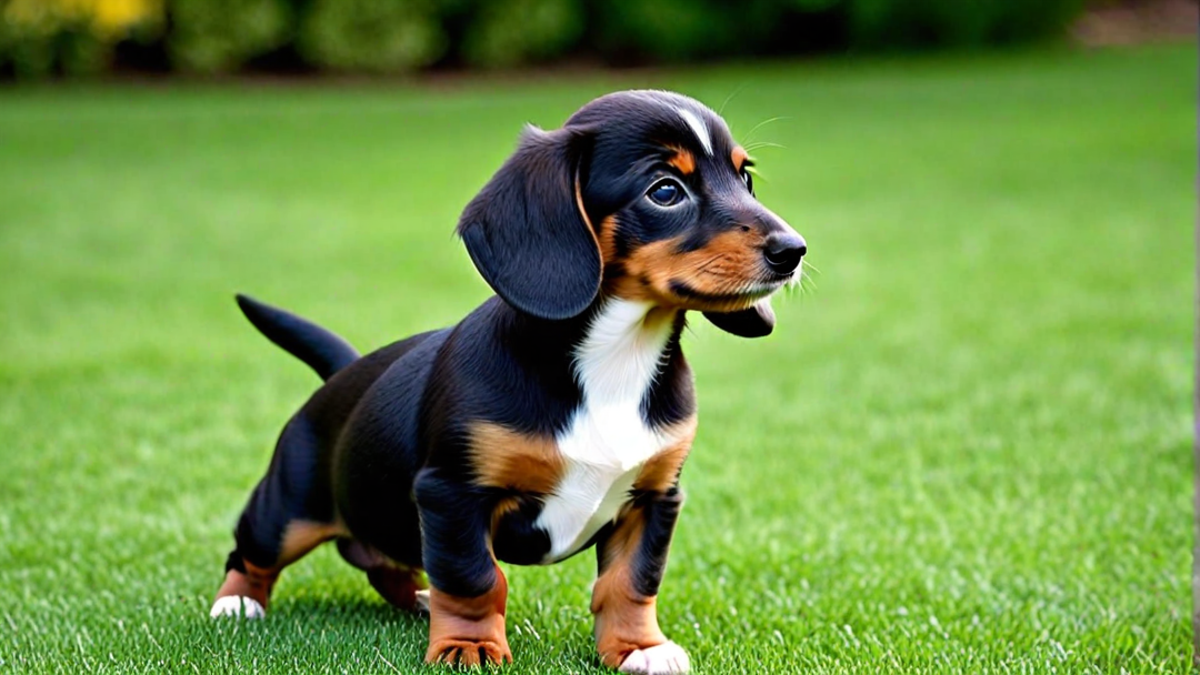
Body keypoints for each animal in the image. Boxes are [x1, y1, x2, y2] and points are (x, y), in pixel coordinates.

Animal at [213, 89, 806, 672]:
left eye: (745, 178)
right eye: (665, 191)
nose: (793, 251)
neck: (616, 358)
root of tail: (344, 372)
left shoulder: (655, 497)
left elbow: (631, 581)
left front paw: (639, 647)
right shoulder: (452, 493)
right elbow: (474, 579)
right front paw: (469, 646)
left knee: (386, 563)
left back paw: (418, 599)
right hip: (287, 509)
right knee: (253, 552)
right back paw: (237, 602)